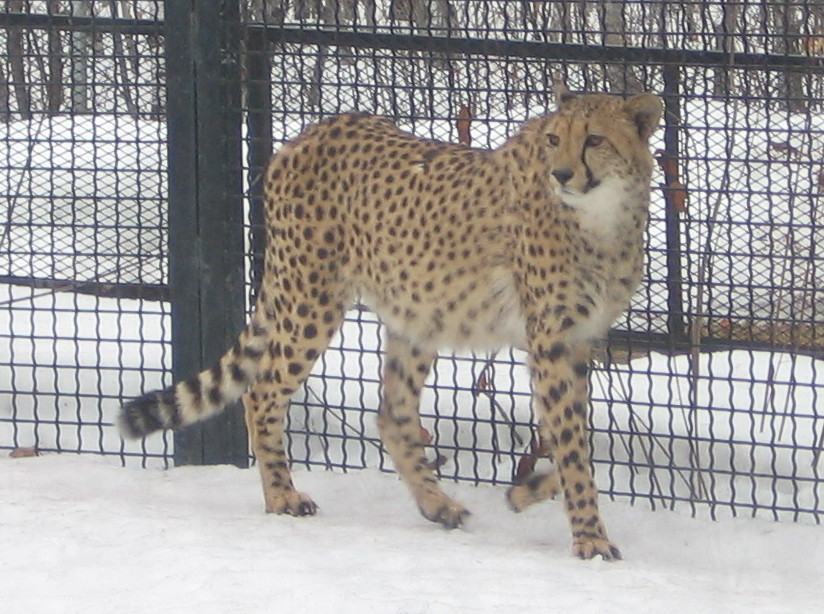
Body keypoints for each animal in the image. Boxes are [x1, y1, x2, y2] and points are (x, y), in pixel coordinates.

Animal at [120, 85, 663, 561]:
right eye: (554, 138)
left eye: (595, 139)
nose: (562, 173)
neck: (603, 218)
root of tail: (309, 132)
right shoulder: (550, 339)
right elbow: (572, 445)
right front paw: (590, 539)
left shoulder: (577, 340)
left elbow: (574, 439)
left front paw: (525, 491)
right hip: (311, 298)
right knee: (263, 391)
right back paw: (281, 496)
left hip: (418, 311)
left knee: (392, 412)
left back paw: (437, 504)